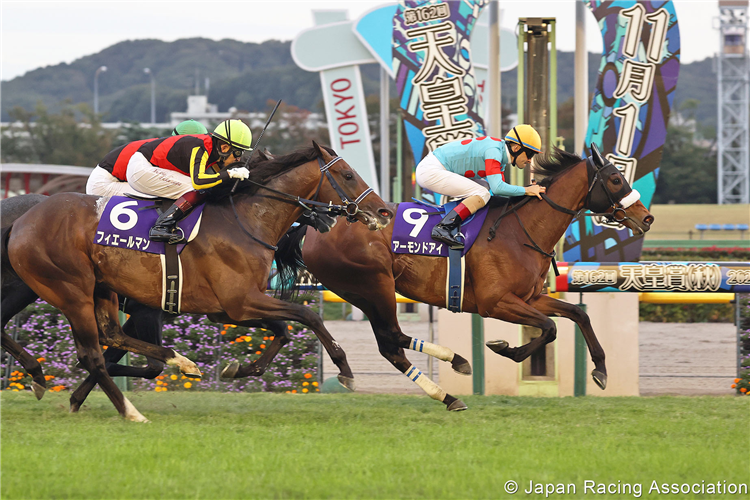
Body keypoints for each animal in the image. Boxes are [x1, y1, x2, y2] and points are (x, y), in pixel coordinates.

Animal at [1, 143, 394, 420]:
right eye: (347, 174)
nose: (384, 211)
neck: (244, 220)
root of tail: (23, 222)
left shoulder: (229, 308)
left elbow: (283, 329)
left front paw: (241, 368)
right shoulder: (234, 302)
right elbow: (308, 317)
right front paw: (344, 370)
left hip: (98, 290)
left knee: (107, 338)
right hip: (68, 290)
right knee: (91, 353)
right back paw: (130, 408)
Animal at [256, 146, 656, 410]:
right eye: (616, 178)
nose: (647, 217)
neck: (520, 230)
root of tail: (312, 229)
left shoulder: (530, 298)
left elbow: (577, 316)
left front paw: (601, 370)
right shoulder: (498, 302)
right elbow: (550, 328)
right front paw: (506, 349)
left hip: (363, 292)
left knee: (391, 344)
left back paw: (449, 384)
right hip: (373, 285)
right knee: (391, 339)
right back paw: (452, 374)